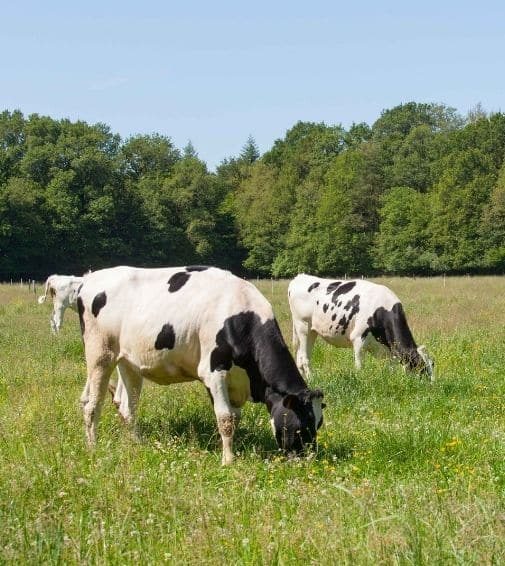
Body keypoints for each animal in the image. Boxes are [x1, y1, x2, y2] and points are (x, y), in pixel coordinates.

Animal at [77, 266, 324, 466]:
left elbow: (234, 418)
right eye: (301, 425)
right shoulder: (214, 372)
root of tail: (89, 279)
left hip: (129, 362)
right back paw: (92, 447)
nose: (308, 460)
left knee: (128, 408)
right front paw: (228, 460)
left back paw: (137, 443)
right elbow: (225, 419)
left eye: (319, 424)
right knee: (92, 405)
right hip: (100, 354)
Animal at [288, 274, 434, 382]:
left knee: (300, 357)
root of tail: (299, 277)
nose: (431, 387)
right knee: (304, 358)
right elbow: (359, 366)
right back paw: (312, 379)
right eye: (421, 366)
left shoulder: (387, 349)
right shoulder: (358, 338)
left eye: (432, 365)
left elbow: (390, 368)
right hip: (303, 326)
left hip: (312, 330)